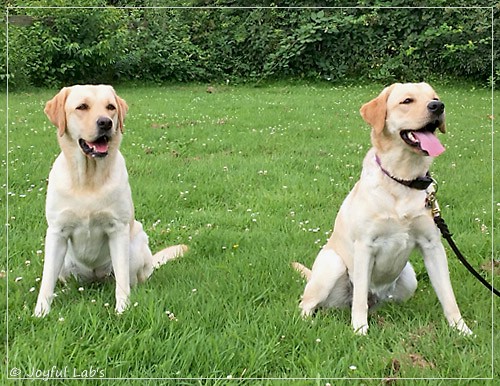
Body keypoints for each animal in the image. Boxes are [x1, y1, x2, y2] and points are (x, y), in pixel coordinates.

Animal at [35, 84, 188, 316]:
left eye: (110, 107)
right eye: (82, 107)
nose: (105, 122)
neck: (88, 179)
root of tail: (95, 277)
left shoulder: (118, 229)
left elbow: (123, 281)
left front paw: (123, 309)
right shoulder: (56, 232)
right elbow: (46, 280)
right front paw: (41, 312)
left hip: (135, 245)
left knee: (131, 278)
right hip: (64, 260)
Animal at [292, 83, 470, 336]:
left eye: (434, 97)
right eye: (407, 101)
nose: (438, 106)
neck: (402, 180)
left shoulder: (432, 245)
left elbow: (448, 295)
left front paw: (462, 330)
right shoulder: (365, 246)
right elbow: (358, 301)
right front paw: (359, 330)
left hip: (409, 278)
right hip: (332, 265)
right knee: (310, 303)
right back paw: (308, 322)